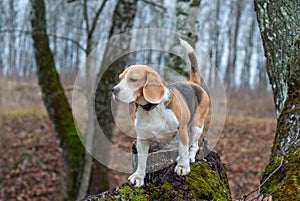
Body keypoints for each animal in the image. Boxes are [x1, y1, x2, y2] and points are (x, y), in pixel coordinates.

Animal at [111, 38, 210, 187]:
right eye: (120, 78)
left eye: (133, 79)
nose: (114, 90)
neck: (150, 109)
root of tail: (194, 83)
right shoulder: (142, 139)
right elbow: (142, 161)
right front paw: (139, 177)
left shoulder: (181, 130)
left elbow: (183, 147)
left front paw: (183, 166)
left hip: (196, 125)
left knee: (194, 144)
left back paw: (189, 157)